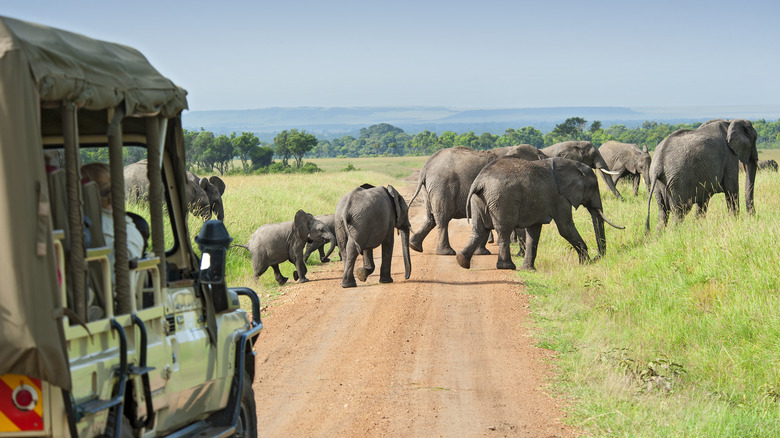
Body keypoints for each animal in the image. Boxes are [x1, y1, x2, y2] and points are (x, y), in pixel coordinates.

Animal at [408, 144, 548, 255]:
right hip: (442, 186)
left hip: (429, 188)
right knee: (443, 217)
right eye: (541, 156)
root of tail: (425, 168)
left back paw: (414, 246)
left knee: (431, 217)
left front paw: (482, 253)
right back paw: (446, 252)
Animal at [454, 156, 624, 272]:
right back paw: (507, 267)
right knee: (503, 230)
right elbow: (565, 228)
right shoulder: (559, 197)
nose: (597, 258)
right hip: (502, 200)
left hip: (479, 200)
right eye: (594, 187)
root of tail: (479, 182)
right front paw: (585, 264)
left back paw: (462, 260)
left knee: (479, 229)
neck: (573, 165)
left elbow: (534, 231)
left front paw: (529, 270)